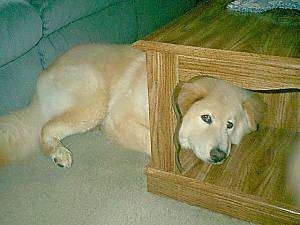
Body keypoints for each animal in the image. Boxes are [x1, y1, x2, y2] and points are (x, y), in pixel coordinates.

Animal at [0, 44, 264, 168]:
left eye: (230, 125)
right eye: (206, 118)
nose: (219, 156)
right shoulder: (119, 118)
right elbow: (154, 142)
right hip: (95, 100)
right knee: (45, 129)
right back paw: (59, 153)